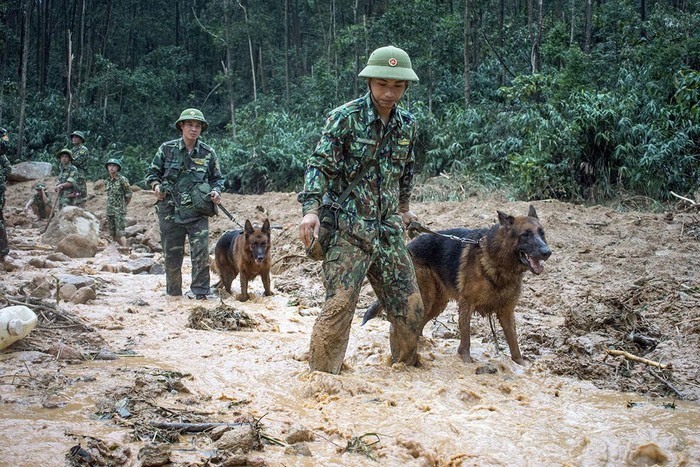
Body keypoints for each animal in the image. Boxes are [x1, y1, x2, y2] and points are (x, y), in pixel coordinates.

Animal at [364, 207, 548, 366]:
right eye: (525, 235)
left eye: (542, 233)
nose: (547, 252)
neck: (499, 262)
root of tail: (409, 244)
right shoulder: (466, 304)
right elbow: (466, 336)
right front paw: (465, 359)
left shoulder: (506, 312)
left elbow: (513, 342)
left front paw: (520, 364)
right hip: (425, 298)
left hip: (437, 304)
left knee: (420, 325)